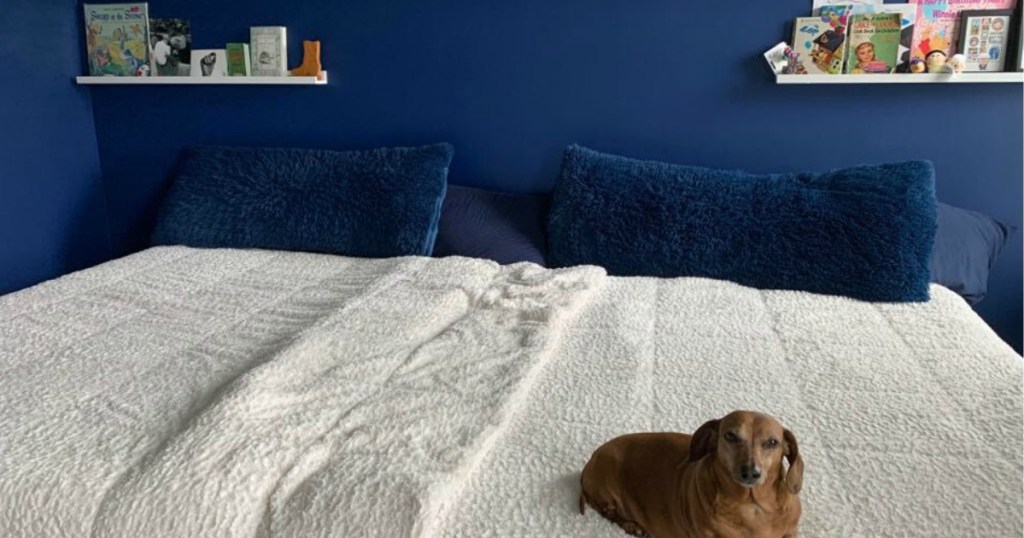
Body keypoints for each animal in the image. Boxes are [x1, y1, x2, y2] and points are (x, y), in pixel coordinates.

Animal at [581, 409, 802, 532]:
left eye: (772, 442)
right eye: (730, 436)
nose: (750, 472)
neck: (752, 504)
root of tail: (590, 461)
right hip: (608, 487)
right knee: (607, 511)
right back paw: (631, 526)